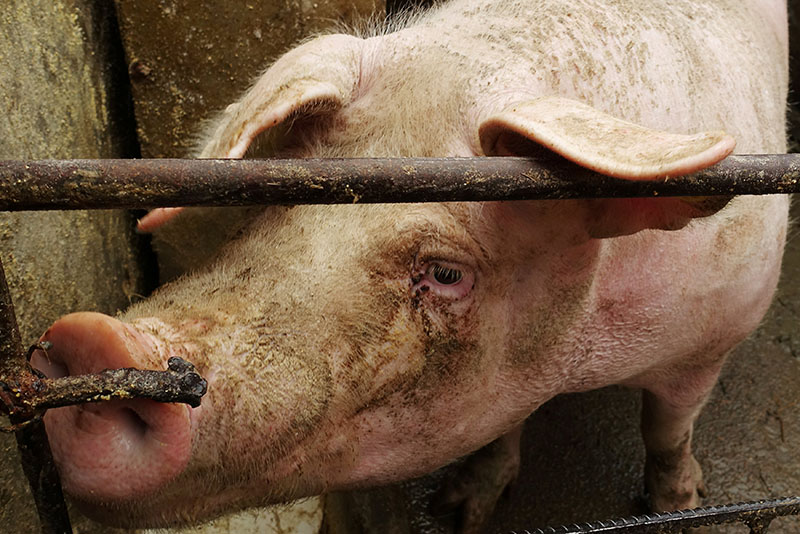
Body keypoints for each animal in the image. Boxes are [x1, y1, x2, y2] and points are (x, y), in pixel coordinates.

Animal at [31, 0, 788, 532]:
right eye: (280, 196)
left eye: (447, 273)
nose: (95, 338)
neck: (587, 355)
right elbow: (499, 430)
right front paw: (461, 514)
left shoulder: (718, 331)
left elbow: (667, 430)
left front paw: (679, 507)